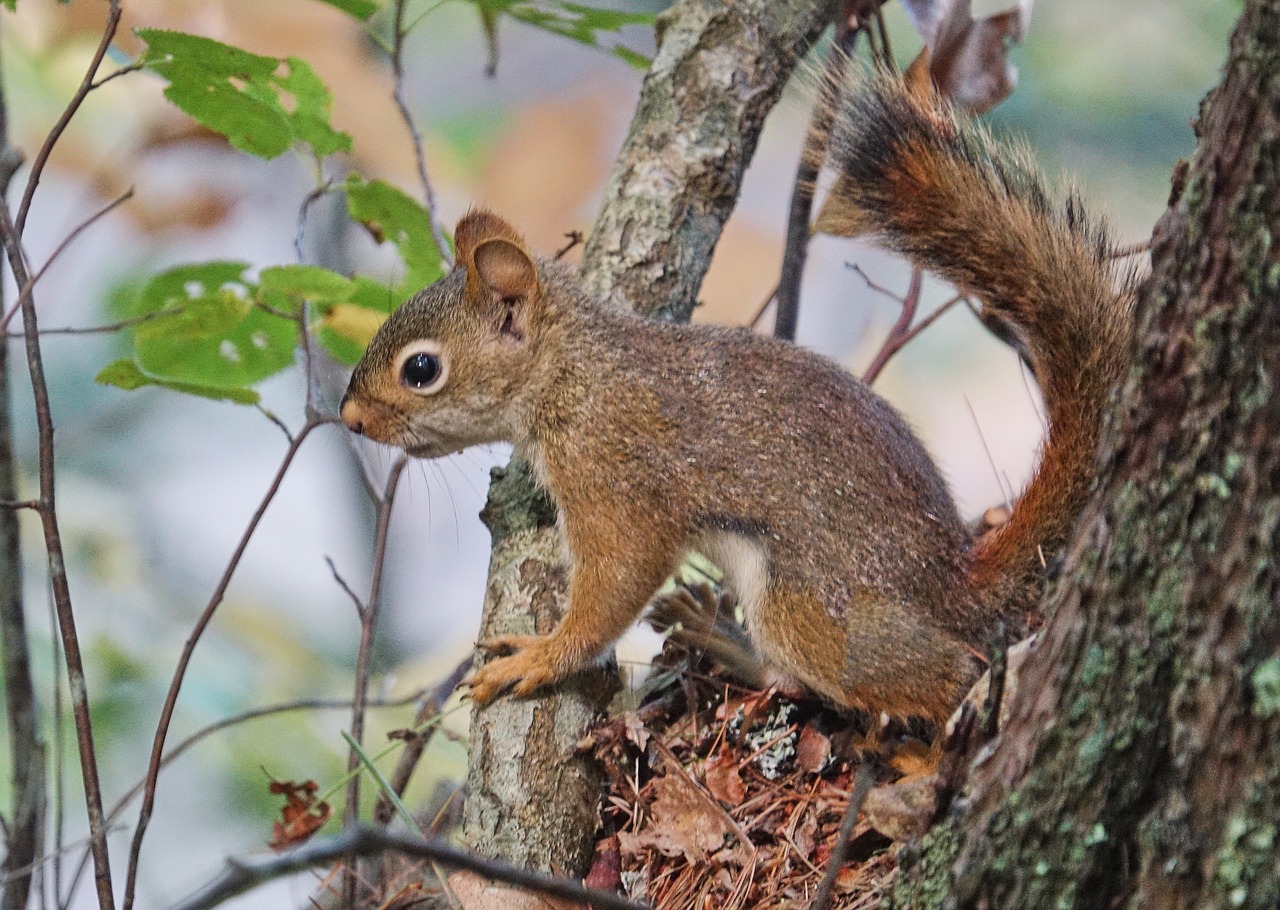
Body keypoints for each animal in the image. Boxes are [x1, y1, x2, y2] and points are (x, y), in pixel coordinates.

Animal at [337, 72, 1131, 726]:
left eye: (420, 370)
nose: (349, 418)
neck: (577, 373)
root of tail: (953, 585)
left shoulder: (619, 477)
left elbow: (615, 582)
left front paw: (541, 656)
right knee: (794, 680)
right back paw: (717, 635)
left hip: (812, 601)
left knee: (927, 676)